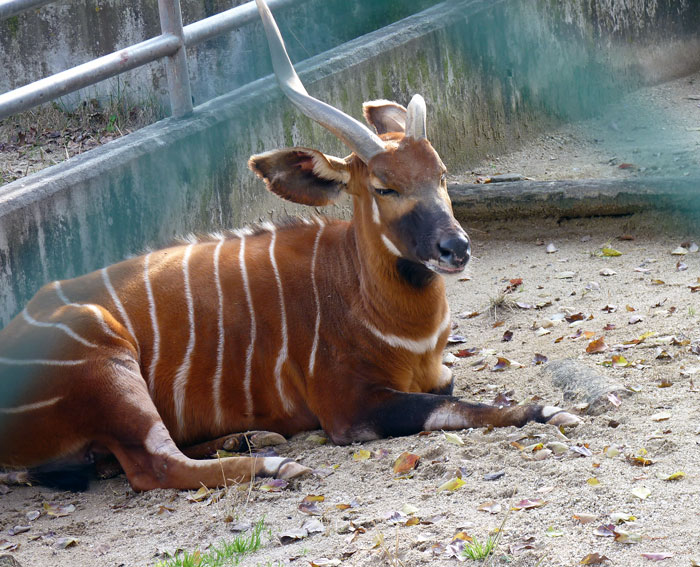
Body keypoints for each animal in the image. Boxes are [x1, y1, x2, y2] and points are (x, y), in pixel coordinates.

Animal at [0, 0, 580, 490]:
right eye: (384, 187)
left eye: (440, 174)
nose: (454, 248)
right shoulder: (349, 408)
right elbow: (459, 410)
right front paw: (551, 411)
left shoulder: (438, 377)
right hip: (108, 360)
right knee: (152, 466)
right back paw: (277, 463)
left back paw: (253, 437)